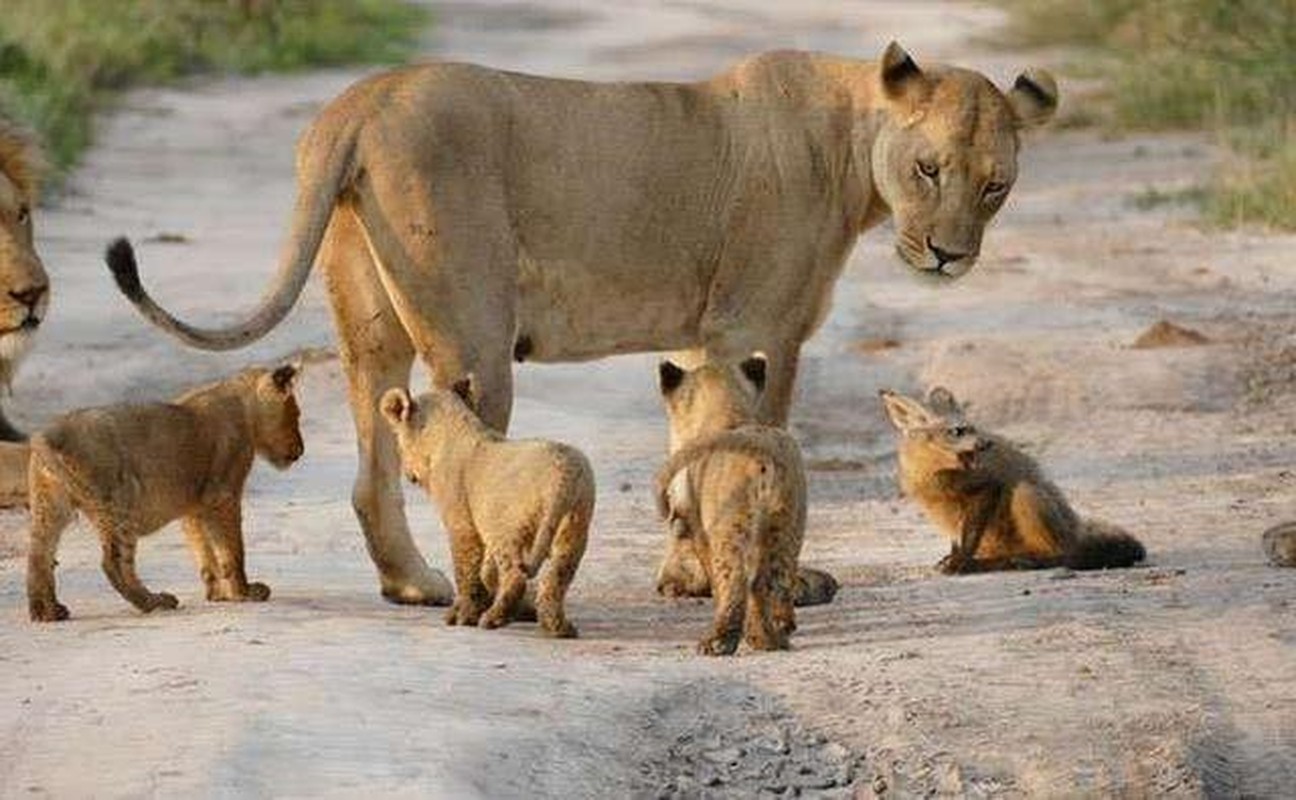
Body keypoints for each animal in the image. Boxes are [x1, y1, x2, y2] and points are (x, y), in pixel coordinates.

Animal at [101, 42, 1052, 604]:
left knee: (374, 470)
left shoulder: (705, 334)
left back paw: (416, 586)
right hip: (475, 331)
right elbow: (758, 445)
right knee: (456, 459)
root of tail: (362, 101)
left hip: (372, 327)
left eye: (995, 185)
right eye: (927, 169)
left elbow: (693, 448)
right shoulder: (758, 330)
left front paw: (686, 575)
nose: (948, 255)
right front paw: (764, 577)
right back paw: (500, 599)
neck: (852, 149)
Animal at [881, 383, 1145, 570]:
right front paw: (955, 560)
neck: (932, 478)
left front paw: (960, 564)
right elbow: (957, 541)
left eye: (973, 427)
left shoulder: (987, 487)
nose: (987, 443)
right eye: (958, 431)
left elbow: (968, 541)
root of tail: (1075, 529)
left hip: (1025, 494)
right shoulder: (941, 513)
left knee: (1063, 555)